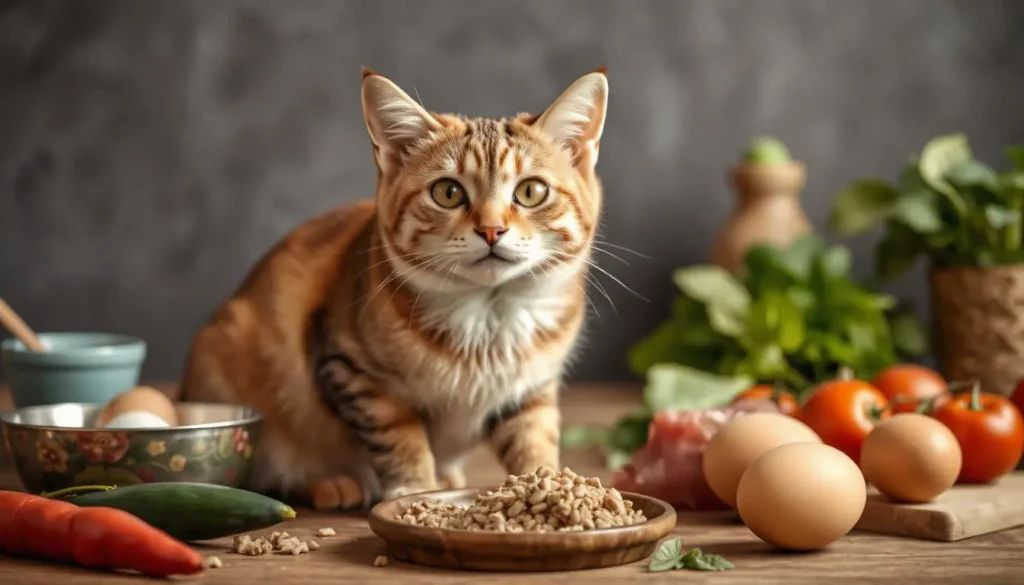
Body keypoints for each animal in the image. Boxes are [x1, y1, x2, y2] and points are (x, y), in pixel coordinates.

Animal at [180, 67, 606, 508]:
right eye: (448, 192)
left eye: (530, 191)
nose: (491, 229)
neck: (488, 318)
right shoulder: (353, 371)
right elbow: (399, 436)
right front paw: (416, 488)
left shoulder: (532, 390)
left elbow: (534, 437)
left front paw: (551, 483)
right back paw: (333, 484)